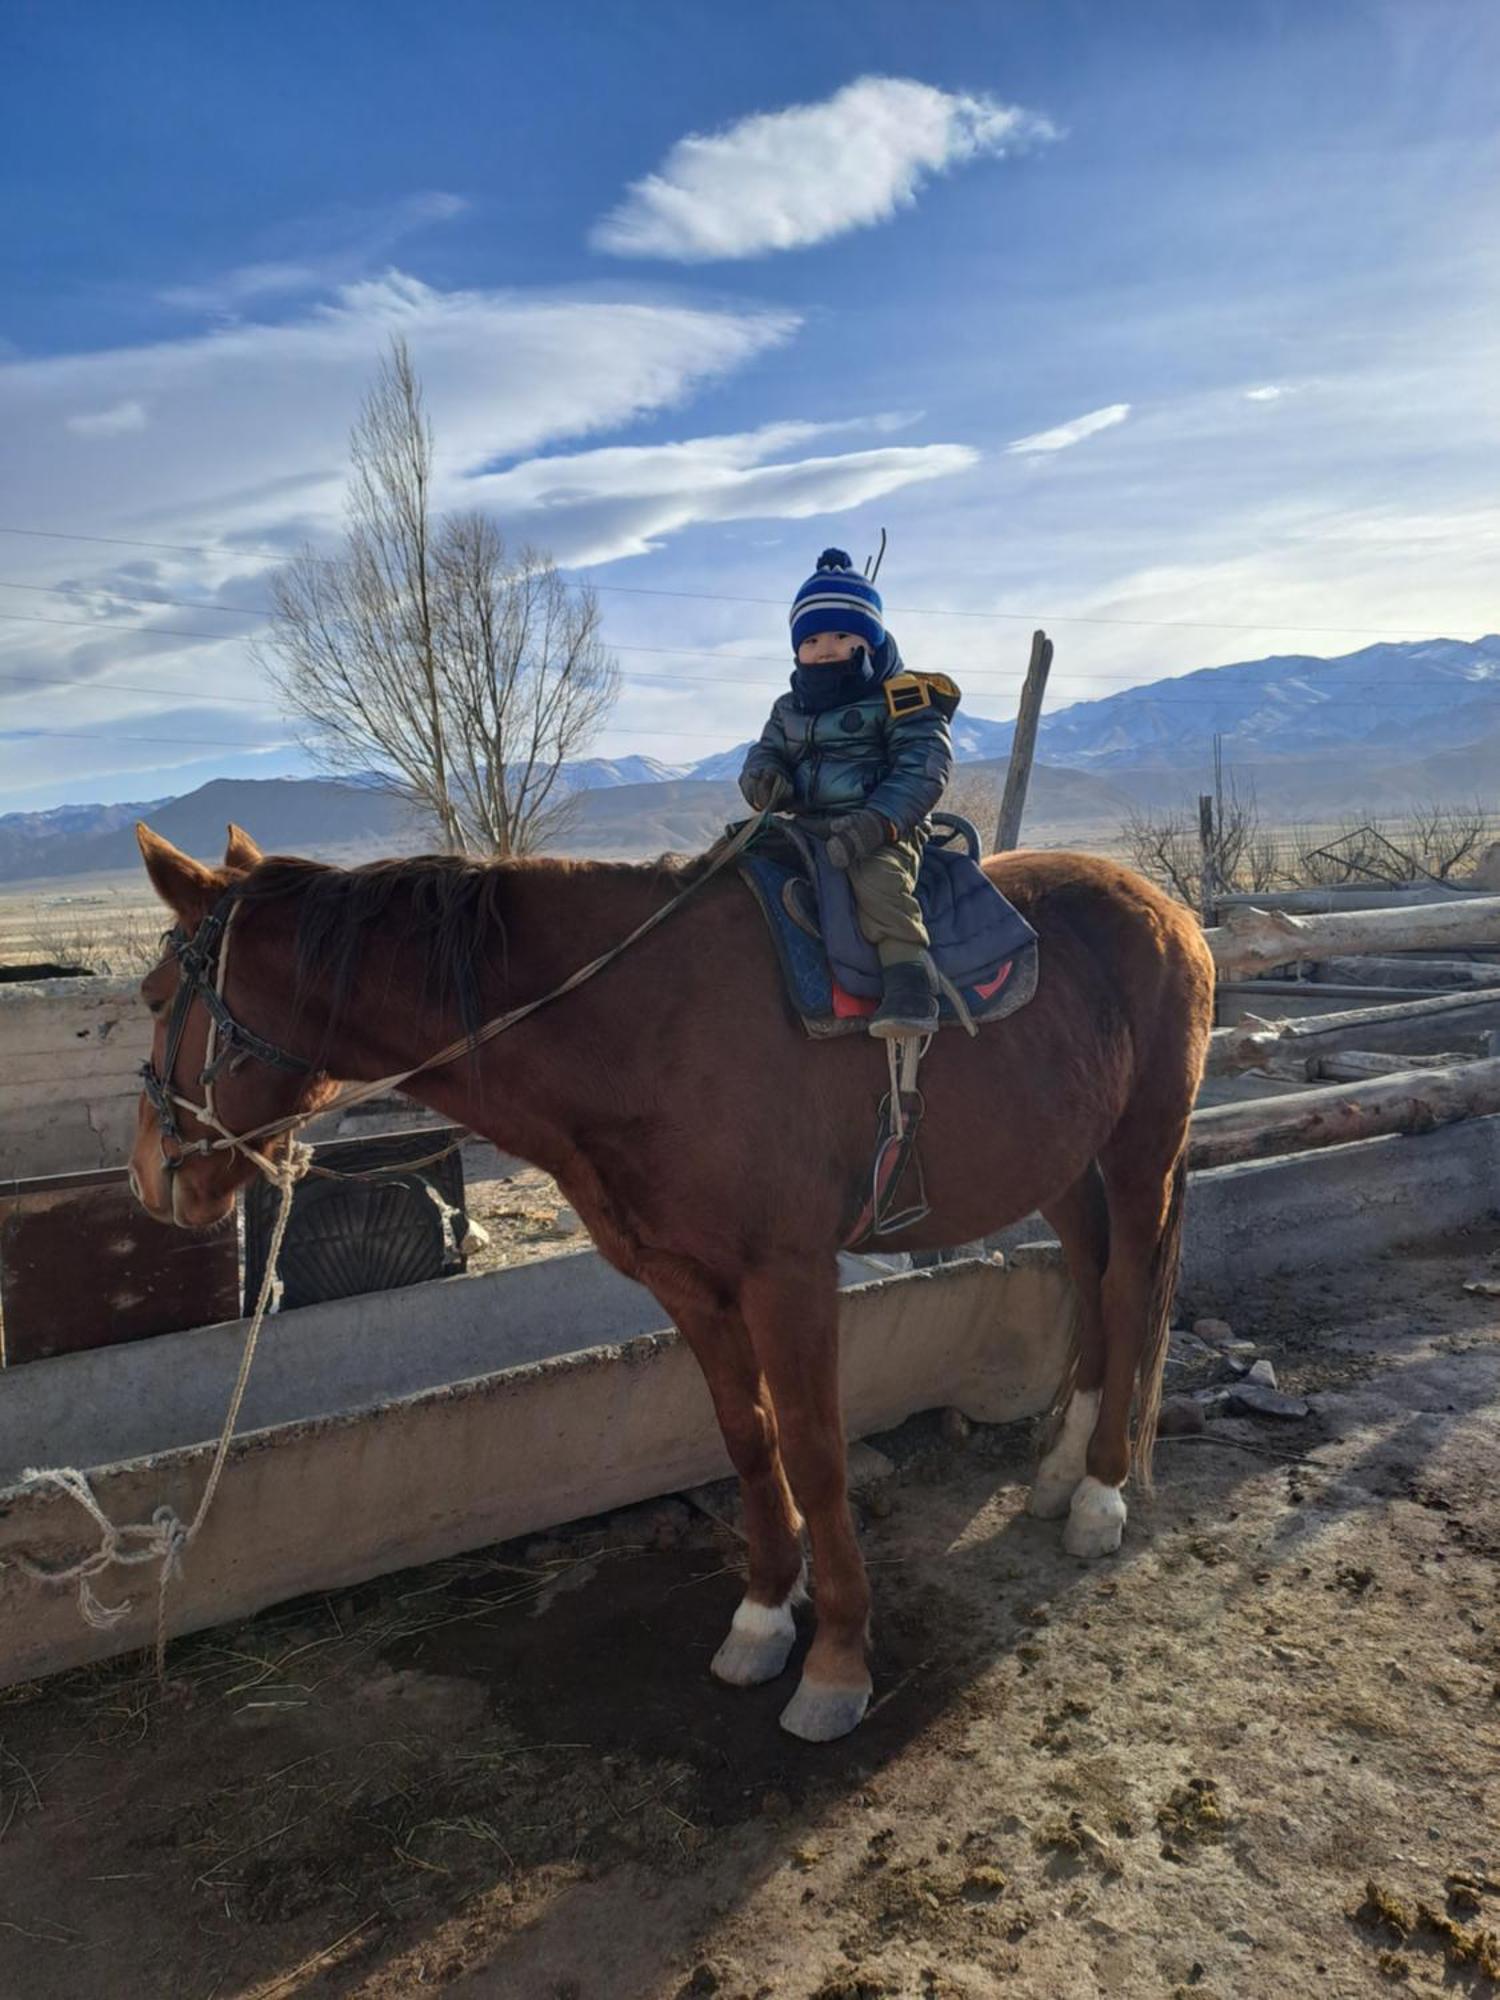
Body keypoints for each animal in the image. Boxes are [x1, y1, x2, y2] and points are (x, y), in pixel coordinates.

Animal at [132, 820, 1224, 1744]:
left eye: (150, 996)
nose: (151, 1176)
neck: (639, 1030)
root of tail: (1164, 908)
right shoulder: (684, 1282)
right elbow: (748, 1441)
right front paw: (763, 1616)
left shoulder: (789, 1279)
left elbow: (817, 1455)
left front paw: (836, 1661)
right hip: (1059, 1163)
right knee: (1090, 1275)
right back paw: (1061, 1469)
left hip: (1143, 1150)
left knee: (1128, 1292)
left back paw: (1101, 1497)